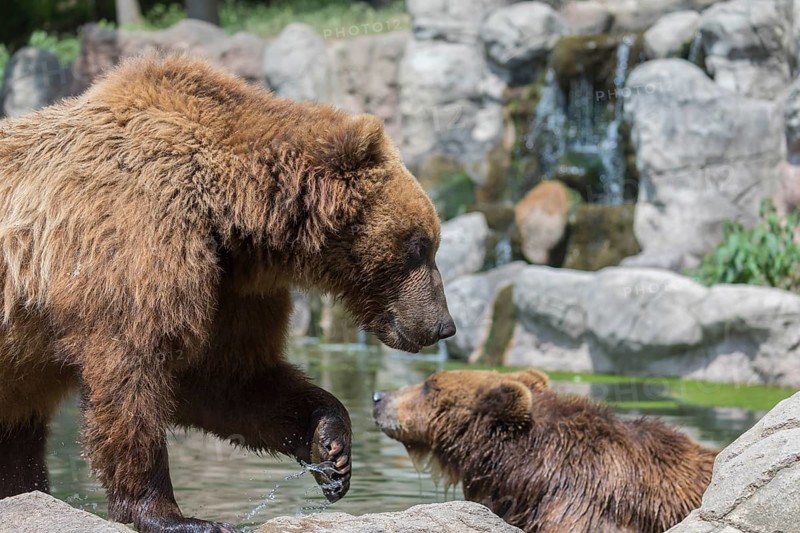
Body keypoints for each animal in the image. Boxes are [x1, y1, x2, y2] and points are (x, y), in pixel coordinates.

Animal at [0, 54, 456, 533]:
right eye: (420, 245)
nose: (444, 326)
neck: (229, 216)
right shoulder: (138, 242)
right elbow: (134, 373)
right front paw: (173, 515)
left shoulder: (231, 289)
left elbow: (226, 380)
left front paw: (331, 446)